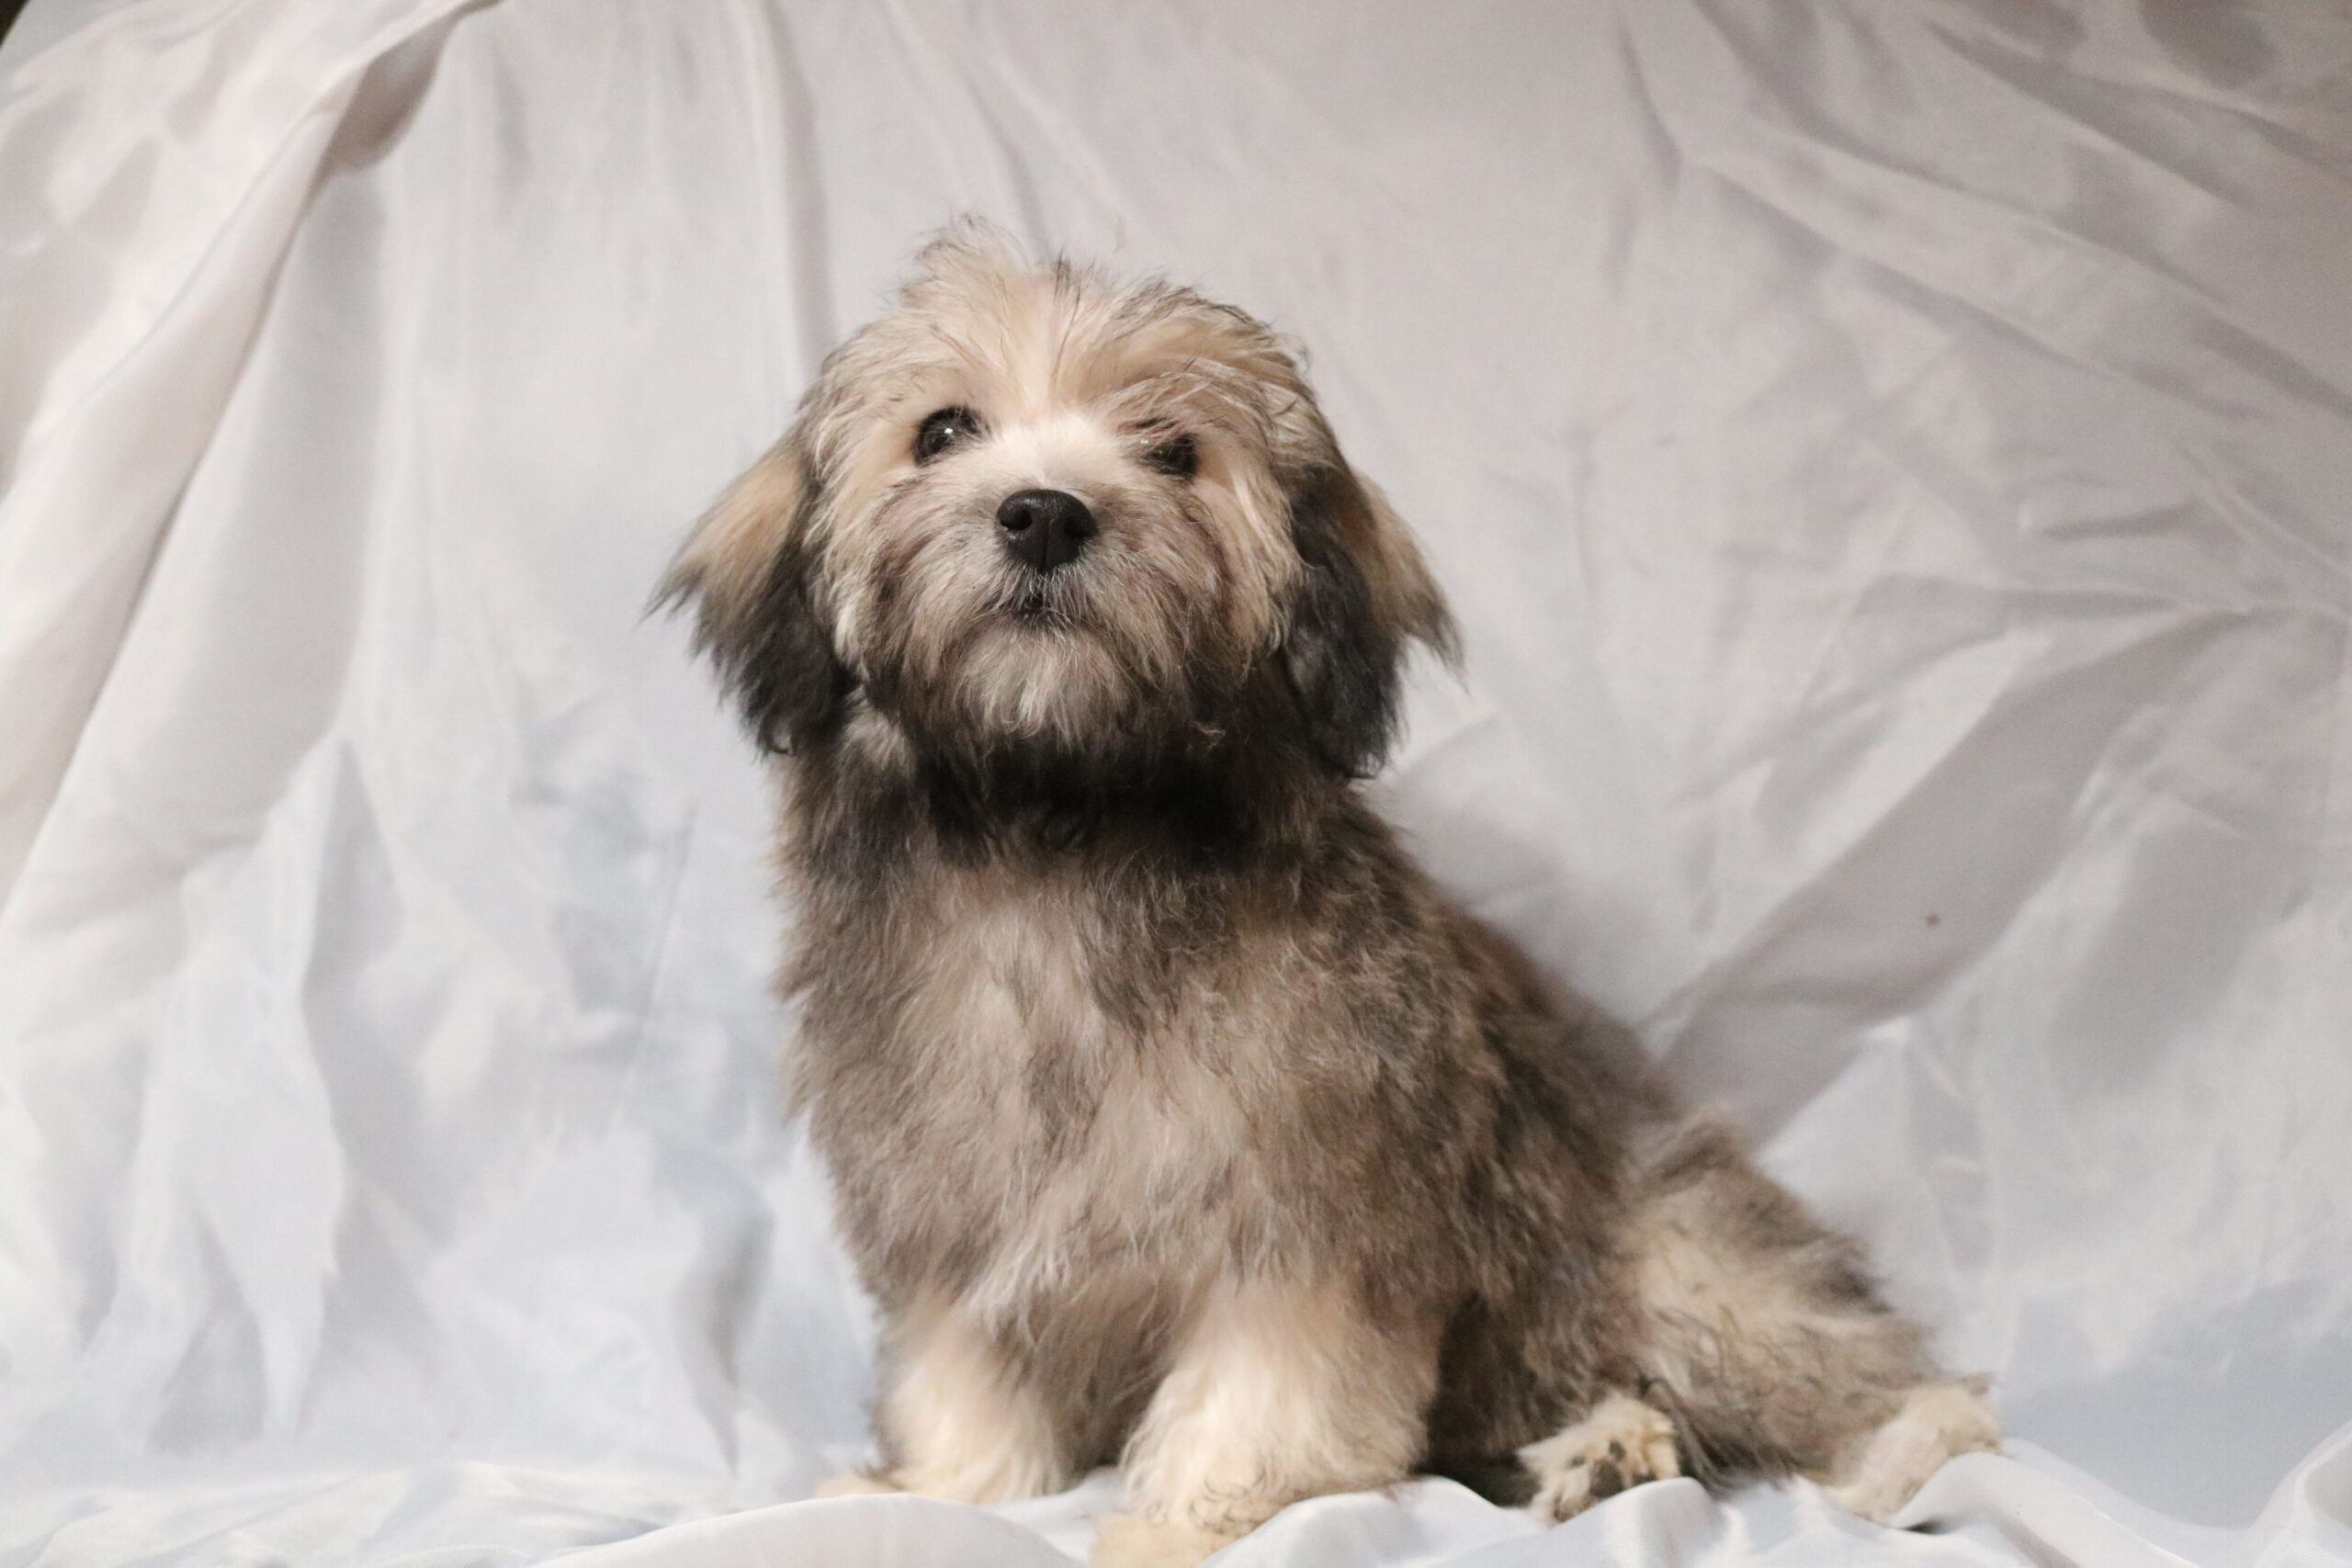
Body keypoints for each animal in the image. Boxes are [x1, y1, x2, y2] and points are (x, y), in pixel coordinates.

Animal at [658, 223, 1984, 1568]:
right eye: (941, 431)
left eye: (1173, 450)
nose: (1041, 515)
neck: (1058, 834)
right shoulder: (960, 1213)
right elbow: (964, 1376)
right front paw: (943, 1488)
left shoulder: (1306, 1222)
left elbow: (1260, 1391)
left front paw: (1181, 1523)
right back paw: (1610, 1455)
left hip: (1674, 1255)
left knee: (1851, 1377)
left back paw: (1890, 1456)